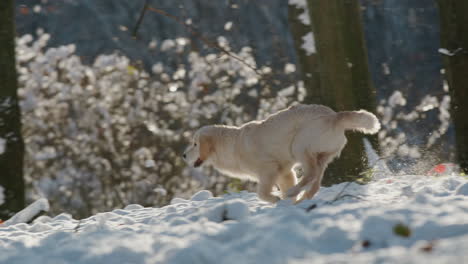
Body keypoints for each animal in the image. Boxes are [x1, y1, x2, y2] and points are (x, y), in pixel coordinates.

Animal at [183, 104, 380, 203]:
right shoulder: (284, 172)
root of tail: (334, 116)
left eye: (195, 144)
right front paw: (287, 202)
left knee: (311, 175)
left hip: (299, 146)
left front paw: (277, 199)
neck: (232, 146)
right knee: (315, 182)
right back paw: (302, 198)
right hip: (321, 156)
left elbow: (262, 194)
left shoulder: (269, 169)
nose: (183, 156)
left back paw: (295, 192)